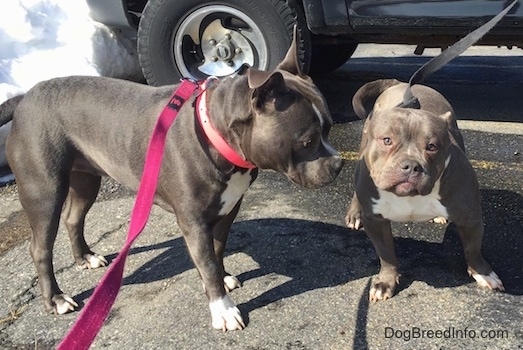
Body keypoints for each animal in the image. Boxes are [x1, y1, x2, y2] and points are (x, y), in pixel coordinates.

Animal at [0, 31, 344, 330]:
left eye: (328, 128)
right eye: (307, 141)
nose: (339, 164)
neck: (214, 133)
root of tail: (25, 98)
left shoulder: (227, 210)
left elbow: (217, 250)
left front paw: (222, 278)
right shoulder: (193, 221)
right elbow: (206, 262)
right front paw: (223, 309)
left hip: (85, 179)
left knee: (73, 218)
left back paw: (85, 257)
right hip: (44, 191)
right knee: (40, 247)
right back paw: (56, 299)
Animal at [346, 78, 506, 300]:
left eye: (432, 146)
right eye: (387, 140)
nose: (411, 166)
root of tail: (401, 83)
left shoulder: (471, 219)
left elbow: (473, 249)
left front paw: (483, 273)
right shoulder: (375, 222)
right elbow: (386, 254)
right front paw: (385, 282)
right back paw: (354, 214)